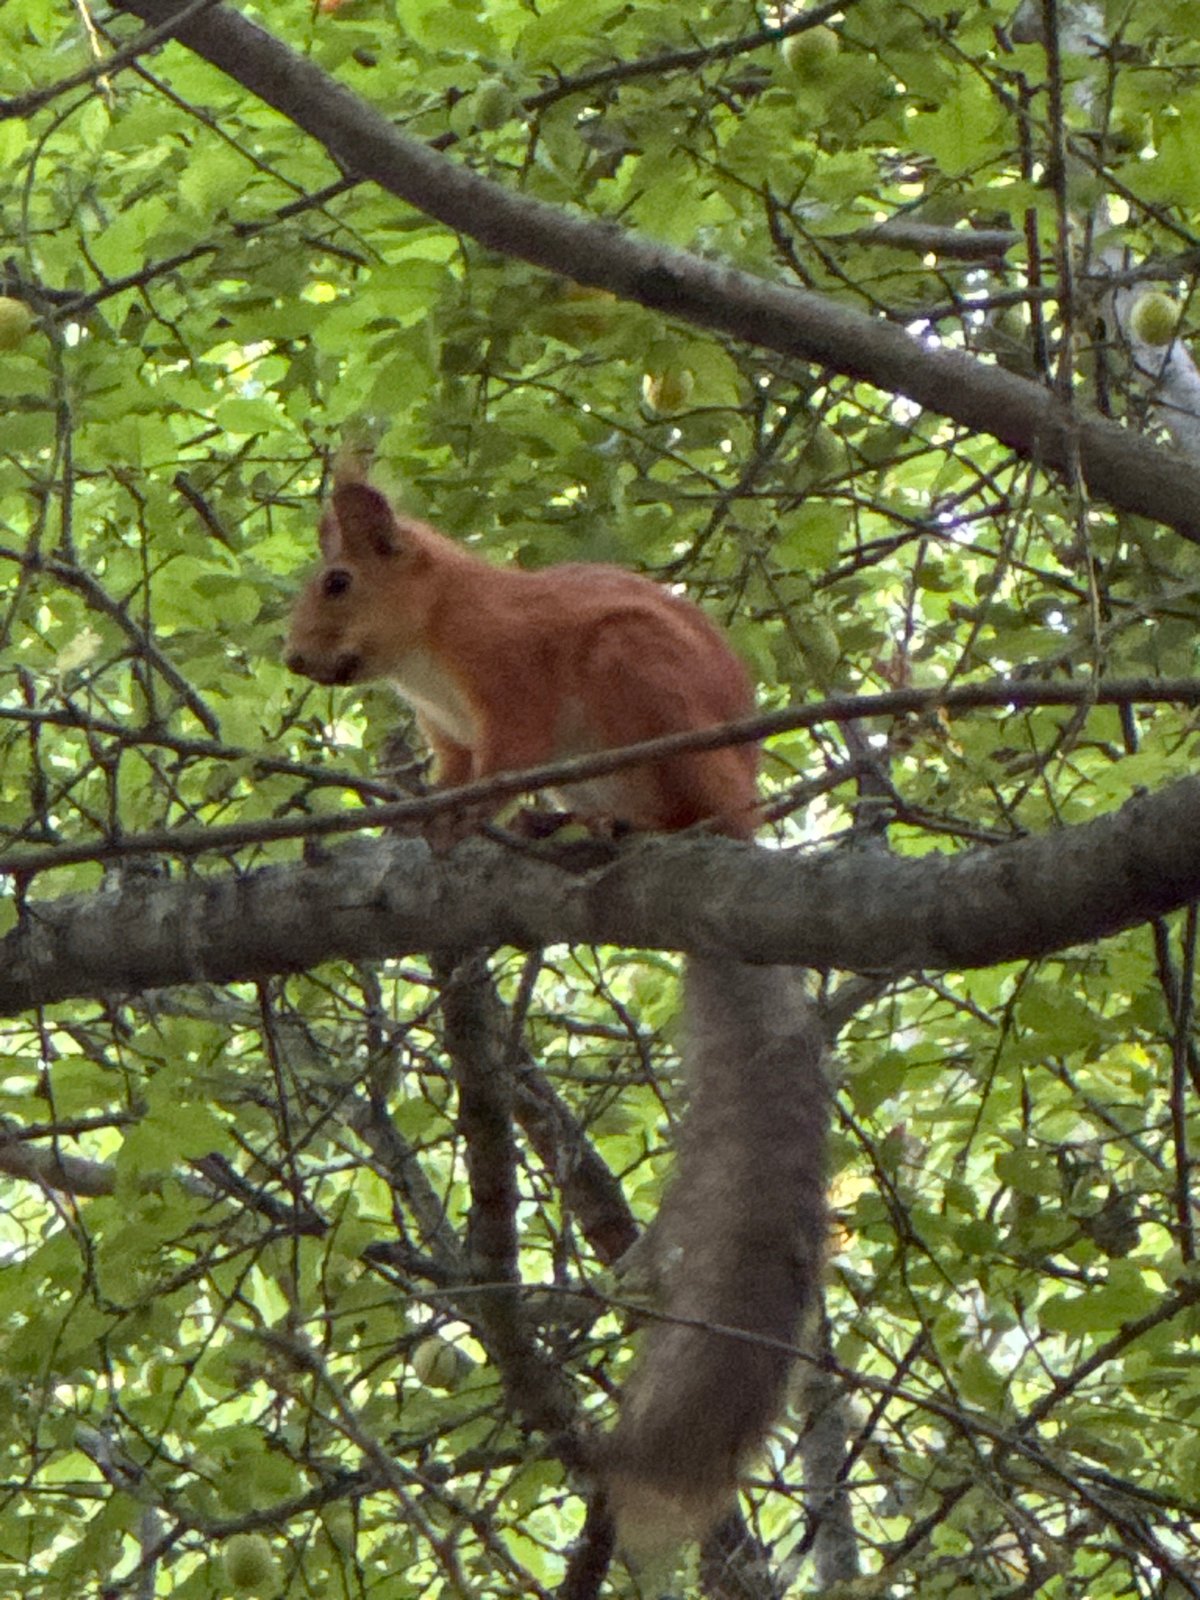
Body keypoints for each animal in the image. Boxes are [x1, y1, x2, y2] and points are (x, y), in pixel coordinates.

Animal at [285, 465, 828, 1554]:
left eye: (336, 580)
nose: (294, 658)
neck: (430, 639)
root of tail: (741, 813)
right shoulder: (447, 735)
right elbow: (451, 779)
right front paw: (418, 822)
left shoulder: (512, 688)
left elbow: (502, 765)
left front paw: (464, 822)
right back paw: (565, 824)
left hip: (639, 686)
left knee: (673, 810)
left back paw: (620, 828)